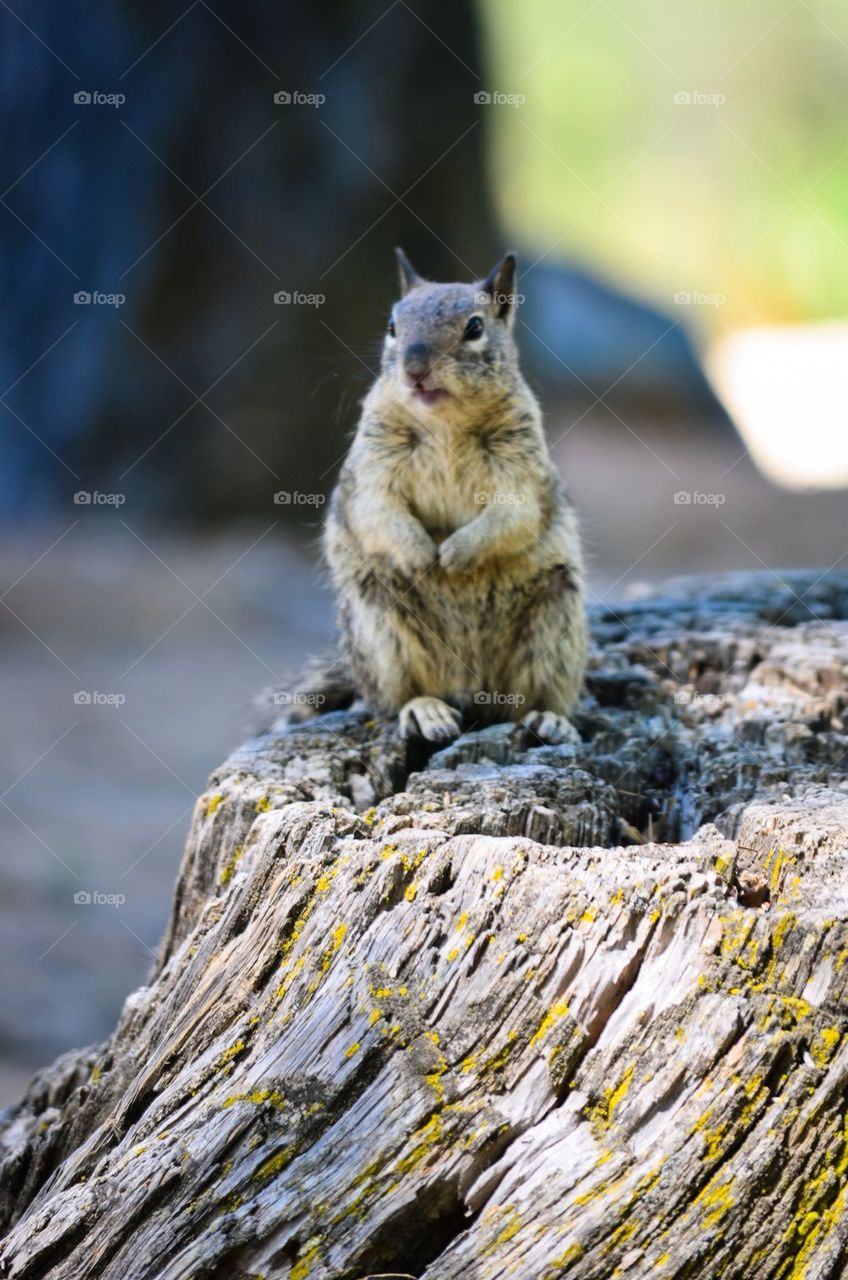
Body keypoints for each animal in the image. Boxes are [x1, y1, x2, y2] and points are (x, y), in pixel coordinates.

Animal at [291, 248, 587, 745]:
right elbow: (377, 508)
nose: (414, 370)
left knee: (530, 701)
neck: (445, 422)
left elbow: (514, 515)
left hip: (558, 617)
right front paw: (421, 554)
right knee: (393, 700)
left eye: (474, 327)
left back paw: (550, 719)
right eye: (392, 325)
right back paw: (426, 712)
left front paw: (455, 553)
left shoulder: (521, 467)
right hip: (379, 625)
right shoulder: (372, 465)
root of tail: (470, 685)